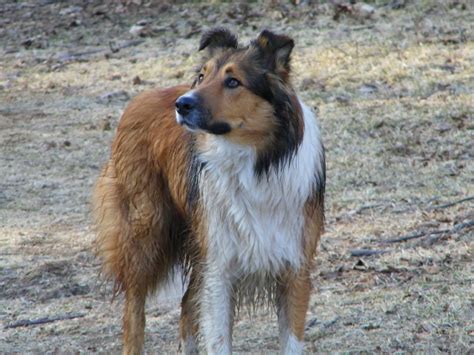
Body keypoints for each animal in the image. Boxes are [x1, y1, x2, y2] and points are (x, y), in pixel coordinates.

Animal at [95, 28, 328, 355]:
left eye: (233, 81)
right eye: (202, 76)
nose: (181, 104)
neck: (252, 165)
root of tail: (143, 96)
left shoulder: (295, 268)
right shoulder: (220, 268)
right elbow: (217, 339)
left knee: (185, 305)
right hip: (146, 233)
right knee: (133, 310)